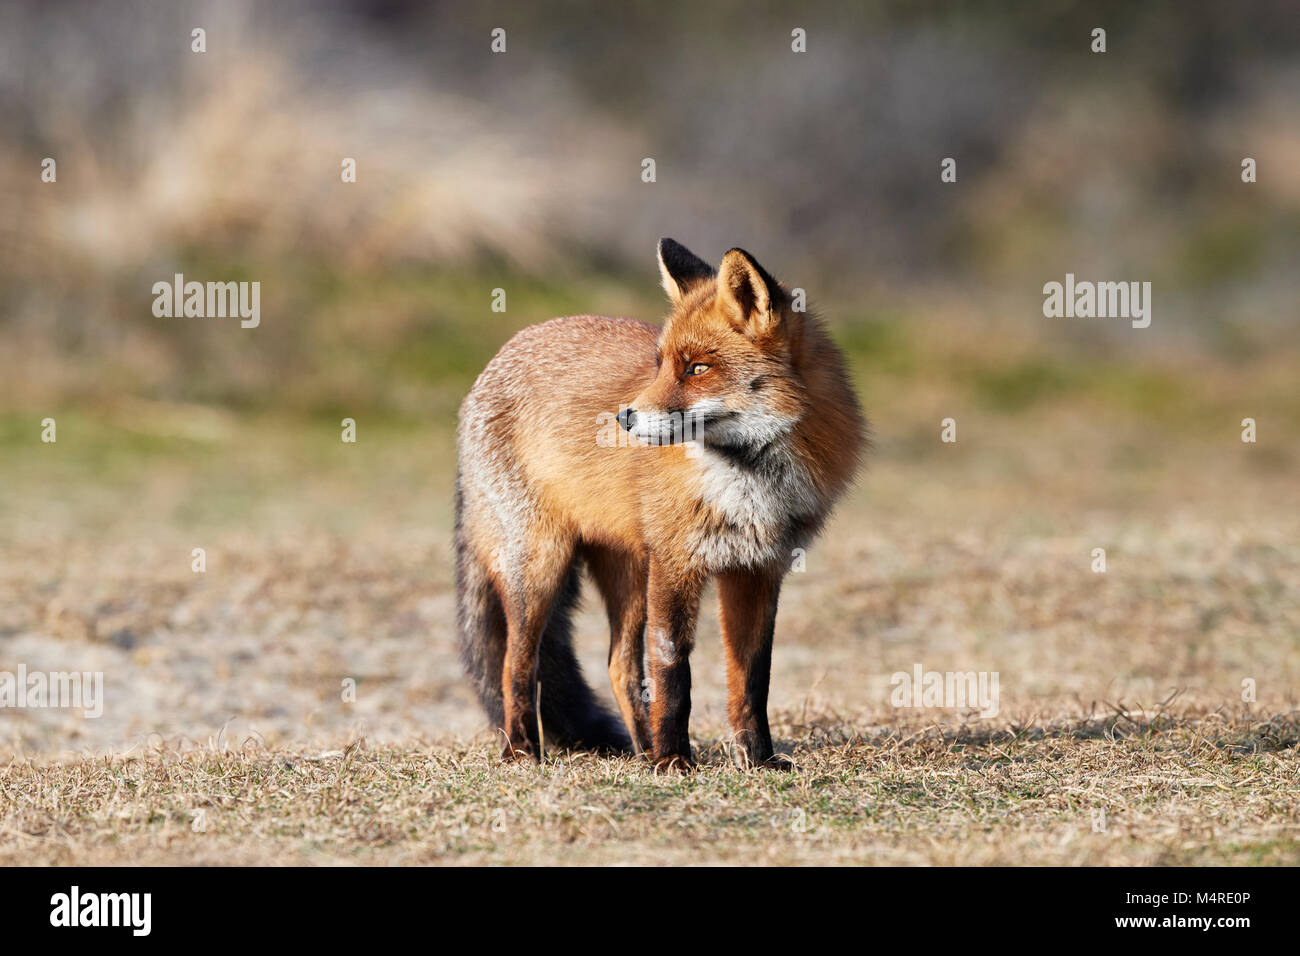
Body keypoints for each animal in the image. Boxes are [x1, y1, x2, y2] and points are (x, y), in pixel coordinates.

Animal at [456, 239, 866, 771]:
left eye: (698, 368)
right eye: (662, 364)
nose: (624, 418)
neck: (747, 482)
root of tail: (499, 356)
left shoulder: (757, 571)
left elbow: (751, 681)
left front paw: (757, 760)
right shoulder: (676, 562)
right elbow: (674, 671)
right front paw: (674, 761)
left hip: (629, 574)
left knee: (619, 667)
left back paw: (640, 750)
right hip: (540, 567)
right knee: (516, 662)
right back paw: (524, 748)